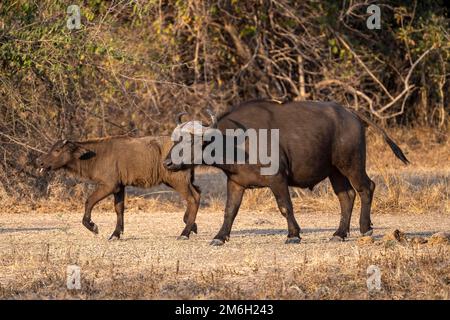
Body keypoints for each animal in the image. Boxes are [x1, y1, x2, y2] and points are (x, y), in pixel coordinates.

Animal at [37, 135, 200, 240]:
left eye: (57, 150)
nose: (40, 162)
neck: (95, 155)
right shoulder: (120, 187)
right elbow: (119, 209)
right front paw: (116, 234)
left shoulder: (109, 186)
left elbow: (89, 201)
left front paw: (92, 226)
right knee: (197, 194)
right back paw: (192, 225)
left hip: (177, 180)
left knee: (192, 199)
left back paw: (184, 233)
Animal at [163, 100, 410, 245]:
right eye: (176, 140)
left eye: (191, 142)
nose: (167, 163)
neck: (237, 142)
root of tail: (350, 113)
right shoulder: (235, 183)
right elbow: (229, 211)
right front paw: (220, 237)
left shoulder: (278, 180)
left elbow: (285, 207)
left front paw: (293, 235)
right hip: (335, 171)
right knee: (346, 196)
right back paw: (339, 234)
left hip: (351, 164)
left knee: (366, 188)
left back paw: (365, 228)